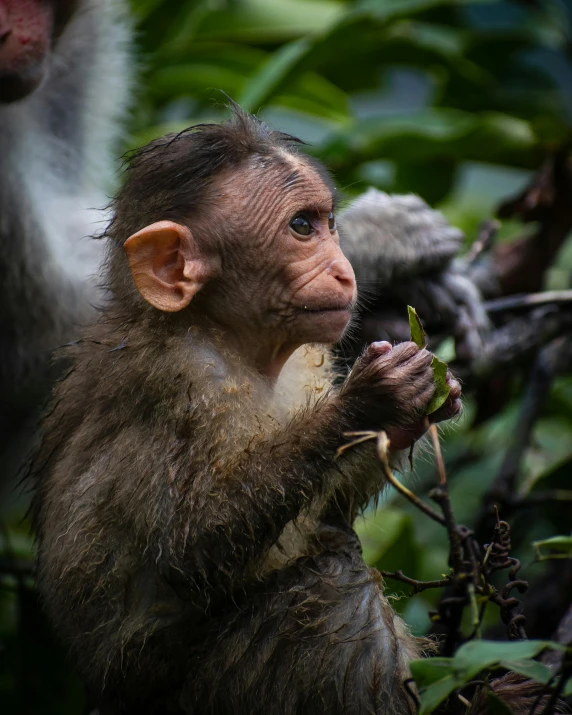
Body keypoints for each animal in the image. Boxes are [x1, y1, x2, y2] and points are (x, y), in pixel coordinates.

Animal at [29, 106, 462, 715]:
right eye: (301, 227)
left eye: (328, 223)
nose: (346, 270)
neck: (236, 340)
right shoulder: (183, 381)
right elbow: (192, 548)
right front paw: (372, 398)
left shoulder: (306, 357)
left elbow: (328, 504)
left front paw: (409, 410)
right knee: (330, 583)